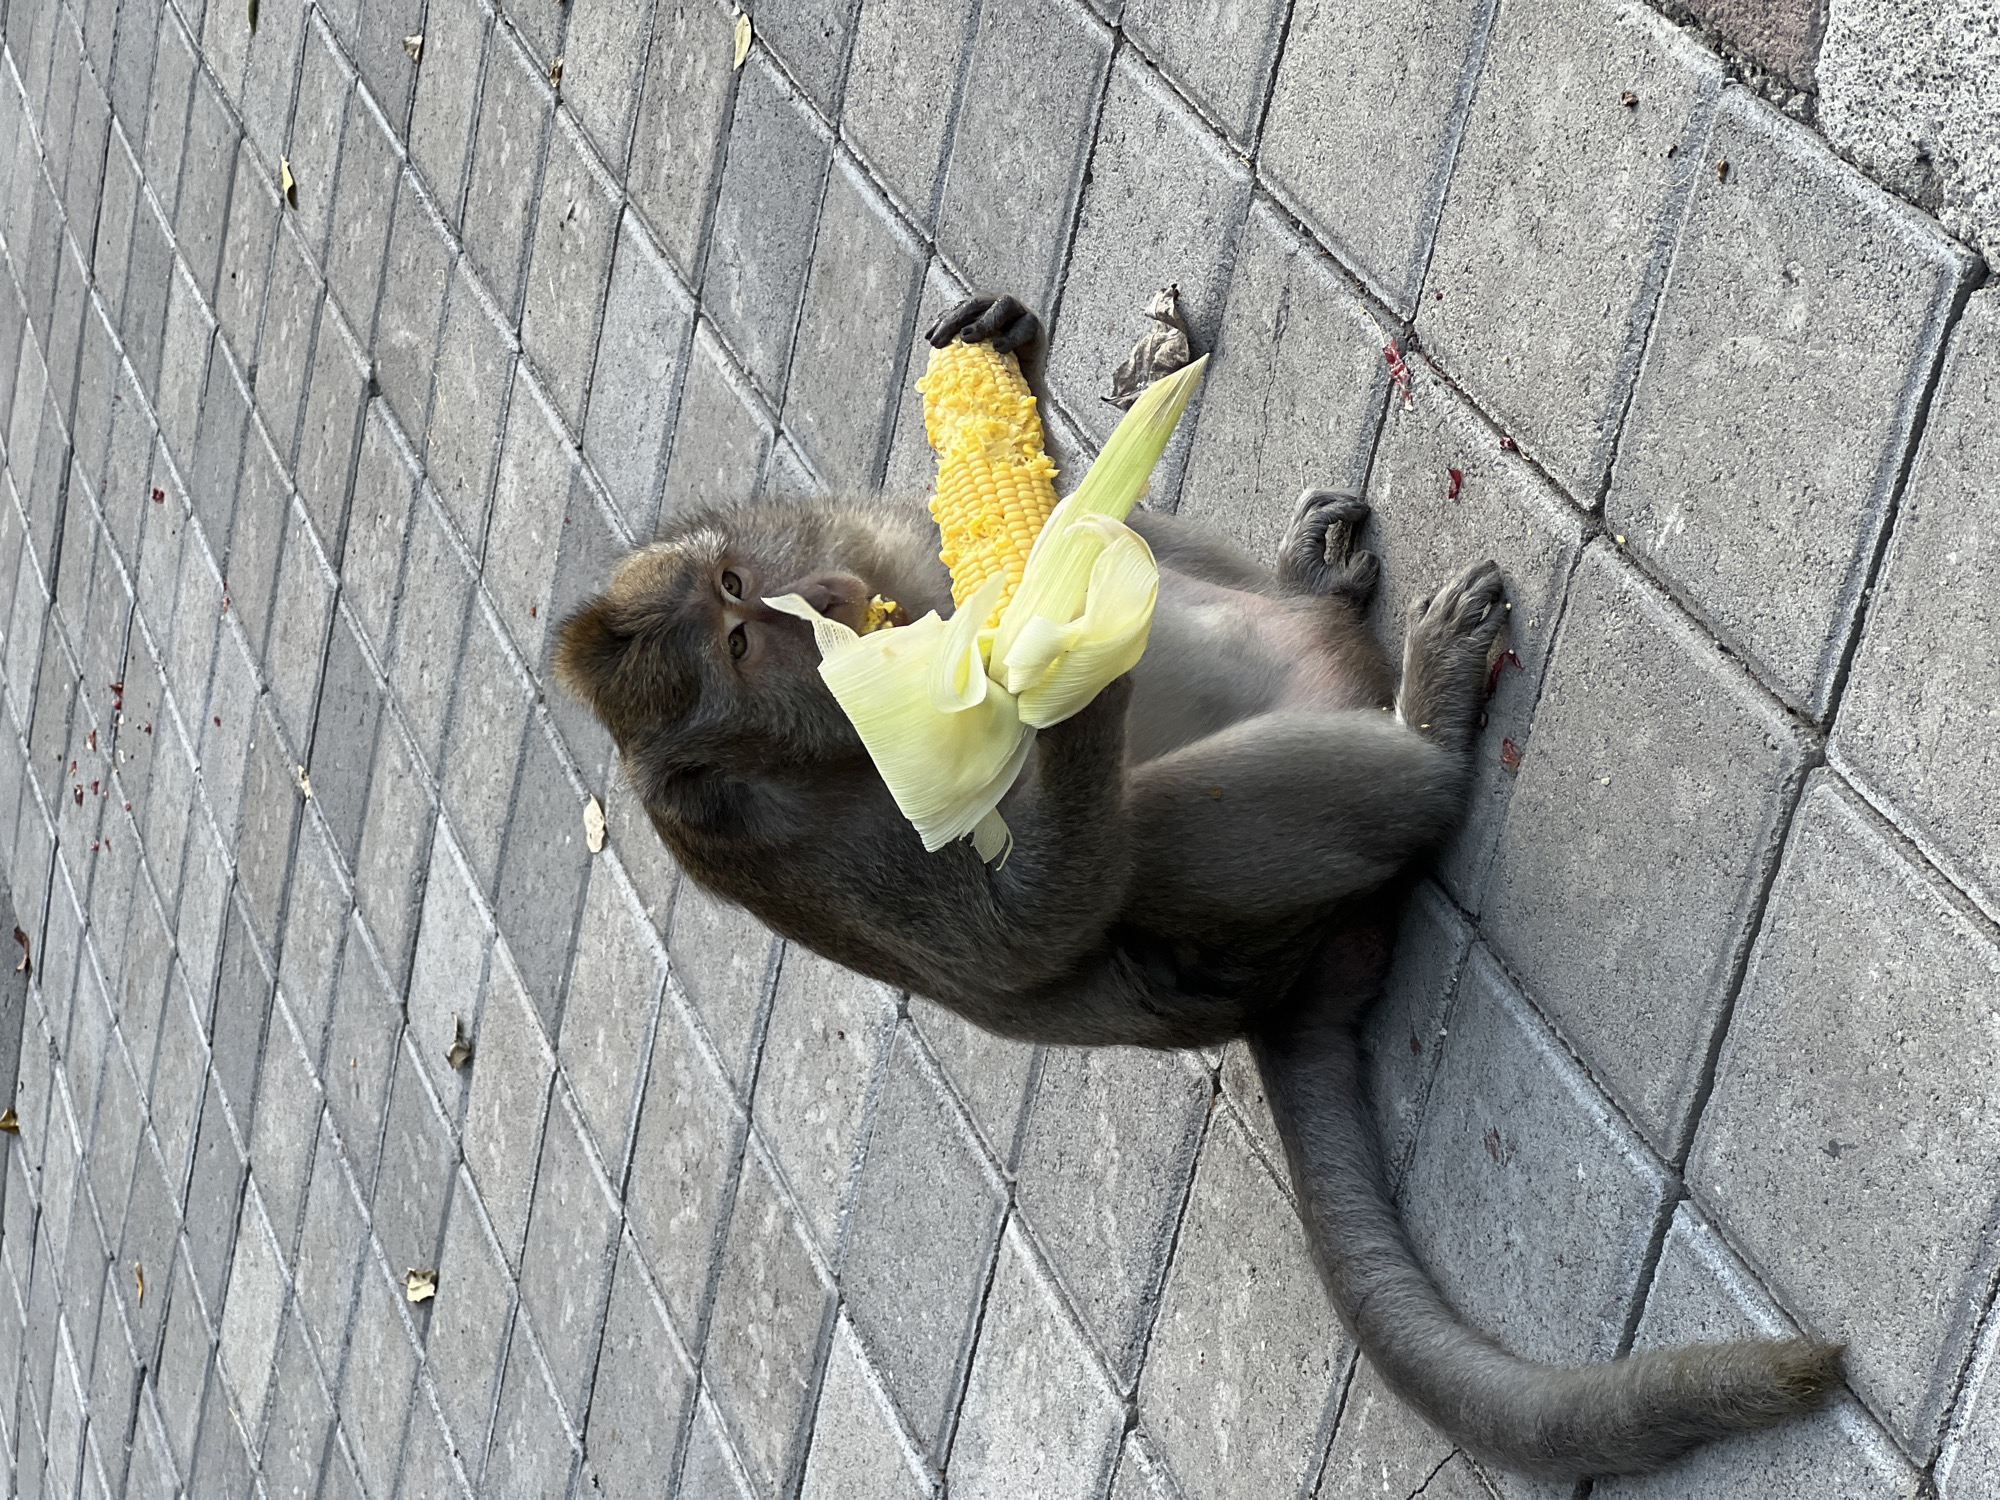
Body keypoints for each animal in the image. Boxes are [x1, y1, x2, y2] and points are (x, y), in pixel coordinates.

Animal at [555, 294, 1841, 1480]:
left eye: (738, 583)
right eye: (733, 642)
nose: (812, 598)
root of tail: (1284, 991)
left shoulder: (858, 532)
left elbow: (978, 519)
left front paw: (1010, 357)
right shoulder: (792, 847)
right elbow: (1028, 940)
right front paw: (1058, 679)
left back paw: (1302, 583)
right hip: (1271, 905)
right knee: (1164, 831)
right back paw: (1428, 728)